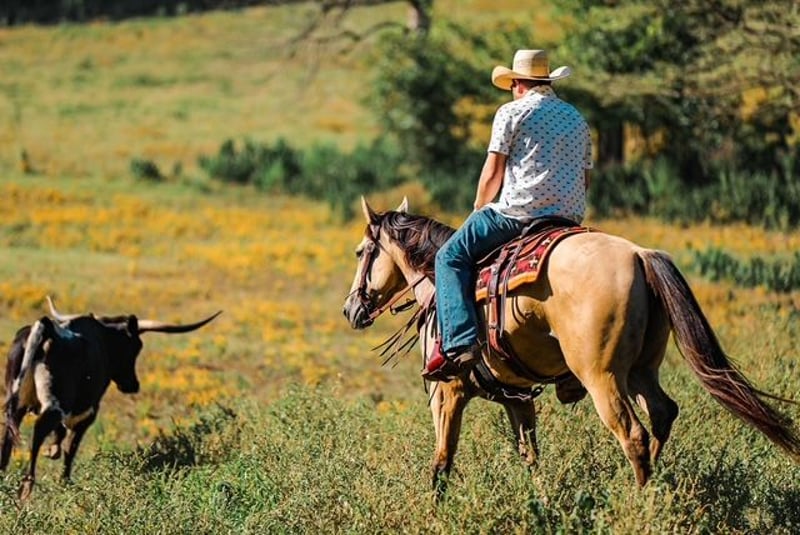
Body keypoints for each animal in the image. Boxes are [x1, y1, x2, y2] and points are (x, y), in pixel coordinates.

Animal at [342, 197, 800, 492]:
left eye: (362, 251)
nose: (351, 309)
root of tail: (639, 254)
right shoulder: (517, 398)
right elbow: (531, 459)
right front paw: (541, 503)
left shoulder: (447, 392)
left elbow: (441, 464)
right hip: (641, 370)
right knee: (662, 413)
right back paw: (657, 489)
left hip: (602, 377)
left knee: (633, 434)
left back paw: (638, 503)